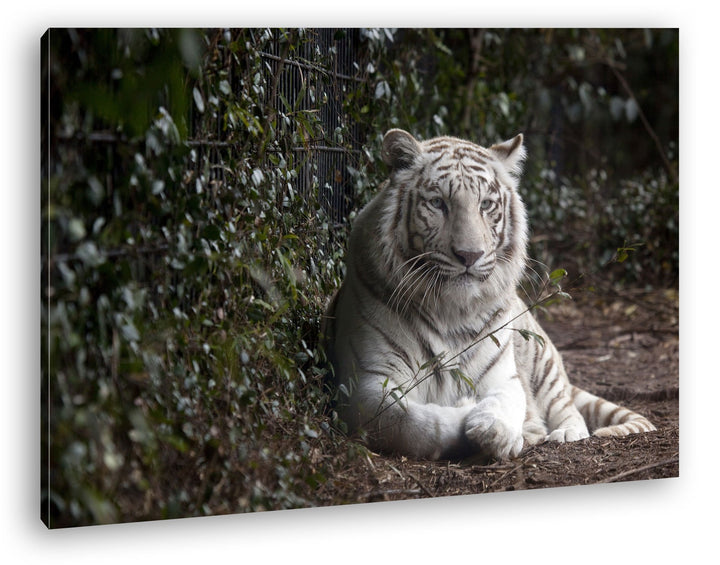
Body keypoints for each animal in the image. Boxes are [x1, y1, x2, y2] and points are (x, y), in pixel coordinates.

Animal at [322, 128, 656, 461]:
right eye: (437, 203)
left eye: (485, 204)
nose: (469, 255)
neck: (449, 310)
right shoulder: (367, 384)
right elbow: (412, 422)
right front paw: (467, 412)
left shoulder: (504, 378)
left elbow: (504, 404)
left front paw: (496, 431)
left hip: (541, 359)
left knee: (568, 408)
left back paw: (562, 433)